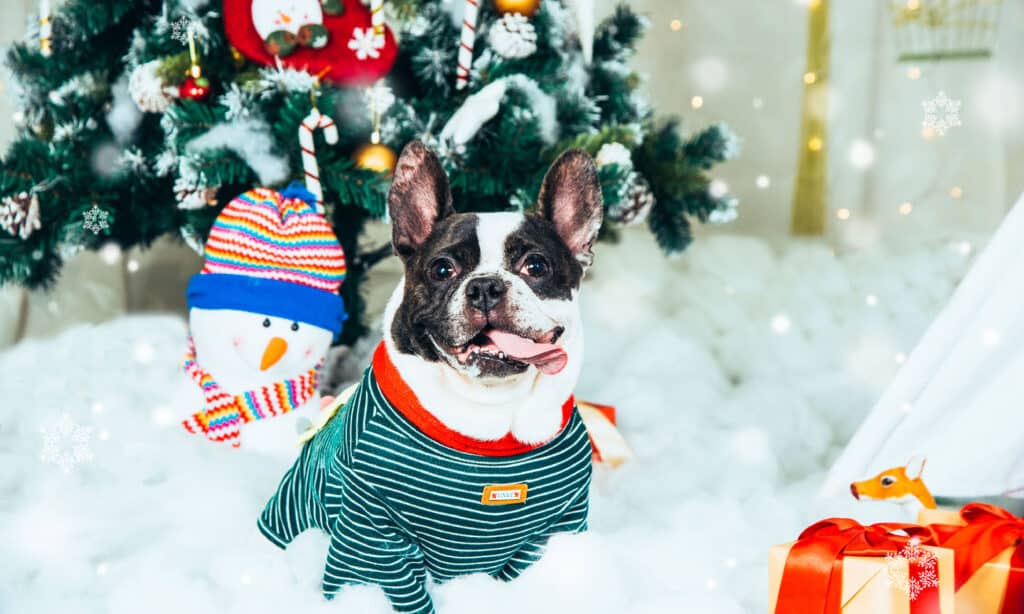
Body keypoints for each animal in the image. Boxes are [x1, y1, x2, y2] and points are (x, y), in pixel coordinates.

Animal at [260, 141, 602, 609]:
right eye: (442, 269)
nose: (485, 286)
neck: (492, 415)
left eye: (536, 266)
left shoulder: (554, 530)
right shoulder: (372, 539)